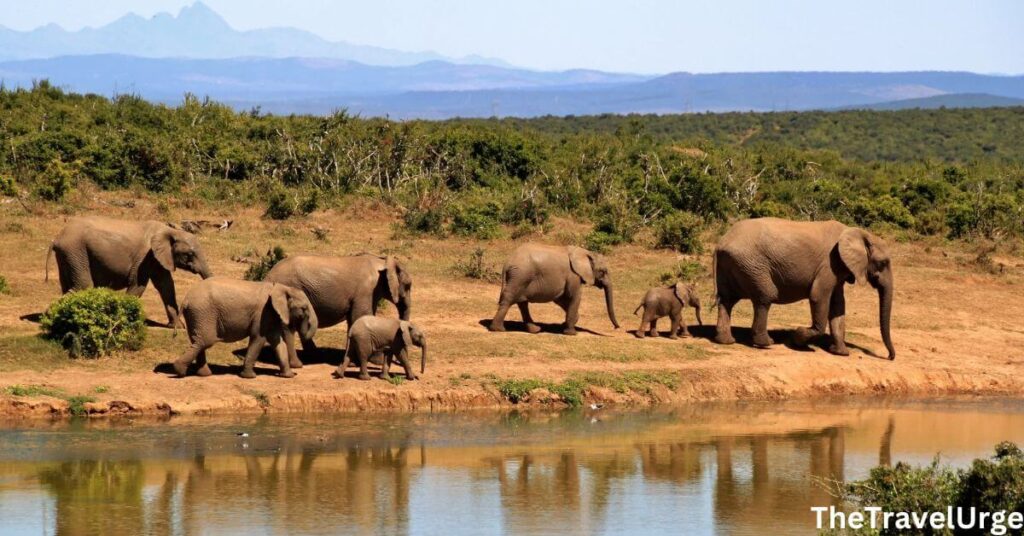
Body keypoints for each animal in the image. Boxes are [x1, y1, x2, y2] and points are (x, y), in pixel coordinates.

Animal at [47, 217, 210, 327]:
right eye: (190, 254)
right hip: (76, 251)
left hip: (68, 255)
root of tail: (57, 238)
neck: (171, 231)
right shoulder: (145, 257)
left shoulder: (158, 258)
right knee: (83, 285)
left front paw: (178, 327)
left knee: (69, 285)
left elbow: (166, 286)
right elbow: (138, 285)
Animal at [174, 278, 315, 379]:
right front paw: (250, 377)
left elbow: (278, 342)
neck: (281, 287)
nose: (297, 372)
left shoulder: (270, 315)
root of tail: (185, 300)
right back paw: (179, 370)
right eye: (304, 309)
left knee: (198, 341)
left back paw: (204, 374)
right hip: (203, 313)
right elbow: (258, 339)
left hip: (197, 315)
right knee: (205, 341)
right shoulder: (262, 313)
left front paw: (288, 376)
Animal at [264, 254, 411, 362]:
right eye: (408, 285)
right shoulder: (365, 291)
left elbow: (355, 320)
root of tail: (268, 276)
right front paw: (375, 361)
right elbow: (360, 316)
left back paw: (315, 356)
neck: (382, 261)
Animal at [489, 243, 622, 336]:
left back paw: (535, 330)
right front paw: (571, 333)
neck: (585, 252)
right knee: (509, 300)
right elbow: (574, 296)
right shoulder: (573, 275)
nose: (617, 327)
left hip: (520, 278)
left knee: (522, 303)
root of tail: (507, 263)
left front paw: (566, 323)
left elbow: (560, 299)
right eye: (603, 271)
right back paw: (498, 329)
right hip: (520, 276)